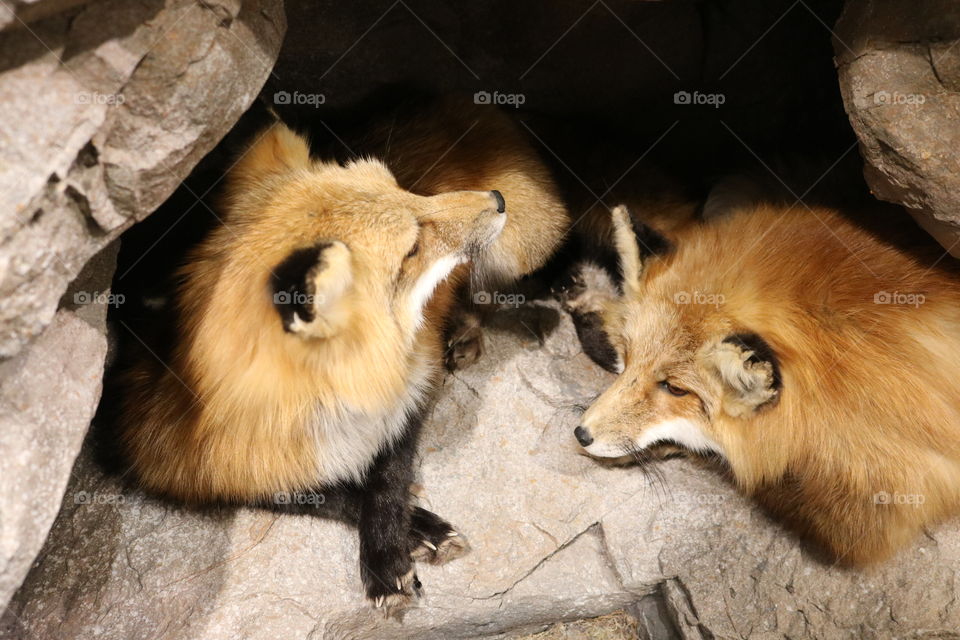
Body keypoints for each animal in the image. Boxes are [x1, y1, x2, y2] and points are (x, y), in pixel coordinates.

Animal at [113, 99, 567, 615]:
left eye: (404, 187)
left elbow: (388, 477)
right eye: (411, 247)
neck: (321, 404)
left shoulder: (413, 377)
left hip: (516, 247)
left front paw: (389, 547)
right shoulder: (180, 464)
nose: (496, 199)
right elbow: (314, 492)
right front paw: (408, 538)